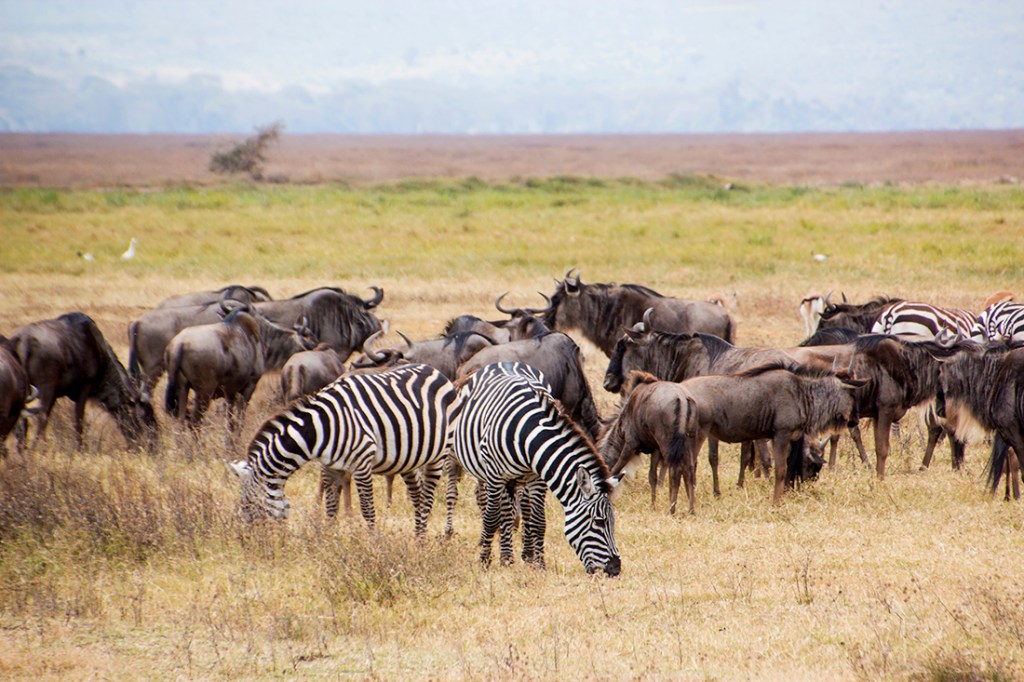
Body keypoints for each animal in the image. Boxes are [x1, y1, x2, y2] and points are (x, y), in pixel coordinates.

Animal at [234, 364, 458, 532]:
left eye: (249, 506)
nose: (250, 544)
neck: (323, 427)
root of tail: (434, 370)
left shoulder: (362, 463)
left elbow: (367, 511)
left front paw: (374, 547)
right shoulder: (330, 466)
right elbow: (331, 507)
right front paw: (329, 542)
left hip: (439, 455)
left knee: (427, 498)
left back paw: (422, 542)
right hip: (409, 459)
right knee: (417, 496)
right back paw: (417, 537)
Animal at [450, 360, 618, 573]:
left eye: (612, 522)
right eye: (599, 522)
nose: (616, 569)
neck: (526, 433)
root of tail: (503, 362)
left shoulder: (538, 478)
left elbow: (538, 521)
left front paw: (539, 563)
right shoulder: (495, 476)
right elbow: (491, 517)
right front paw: (484, 561)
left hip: (519, 479)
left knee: (517, 511)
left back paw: (519, 556)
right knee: (501, 512)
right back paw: (505, 556)